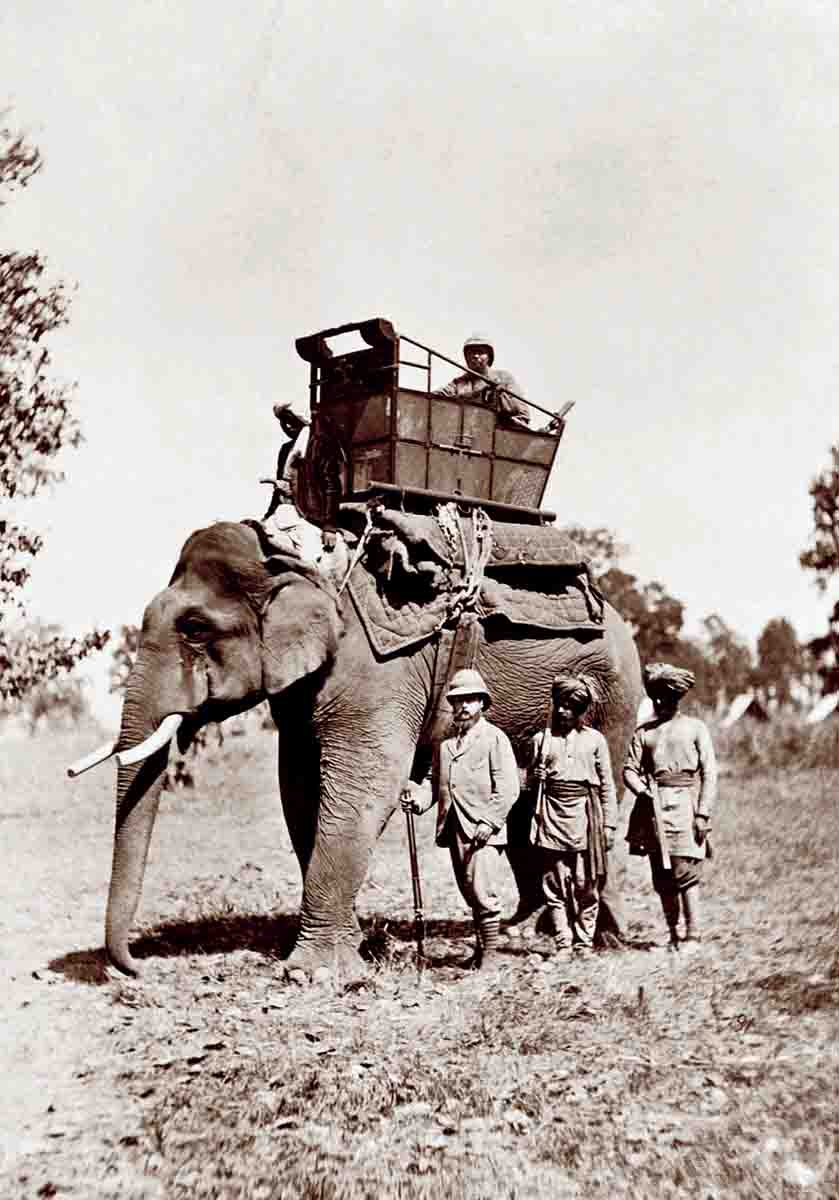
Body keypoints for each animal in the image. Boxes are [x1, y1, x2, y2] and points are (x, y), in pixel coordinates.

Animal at [106, 520, 643, 979]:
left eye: (195, 628)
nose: (137, 969)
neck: (300, 560)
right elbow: (300, 788)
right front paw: (356, 949)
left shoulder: (377, 671)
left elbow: (364, 785)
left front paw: (313, 974)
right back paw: (528, 929)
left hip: (613, 698)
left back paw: (600, 938)